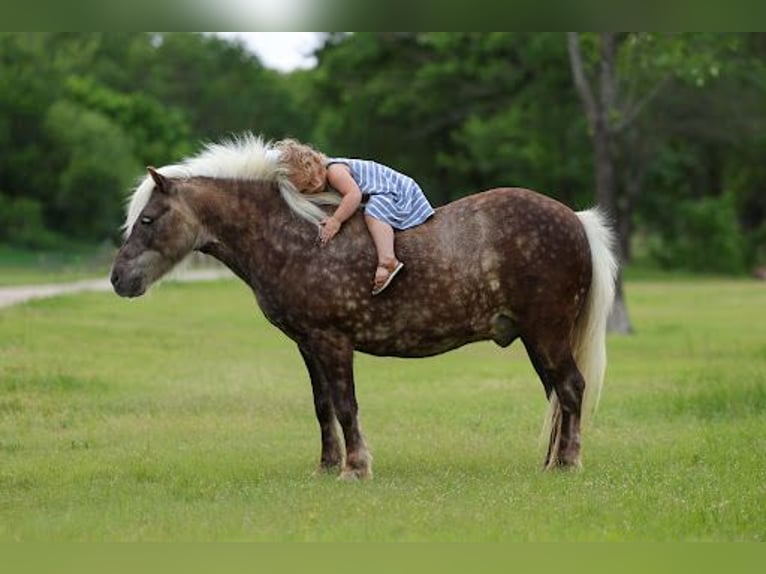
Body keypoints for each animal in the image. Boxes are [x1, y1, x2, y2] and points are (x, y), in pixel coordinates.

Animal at [110, 134, 618, 479]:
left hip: (546, 333)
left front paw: (355, 468)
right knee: (558, 394)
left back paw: (567, 463)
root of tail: (575, 218)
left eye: (148, 220)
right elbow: (322, 406)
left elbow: (346, 404)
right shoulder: (307, 344)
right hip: (536, 337)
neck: (295, 238)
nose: (118, 279)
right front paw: (326, 466)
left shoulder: (333, 341)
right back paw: (551, 462)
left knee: (570, 388)